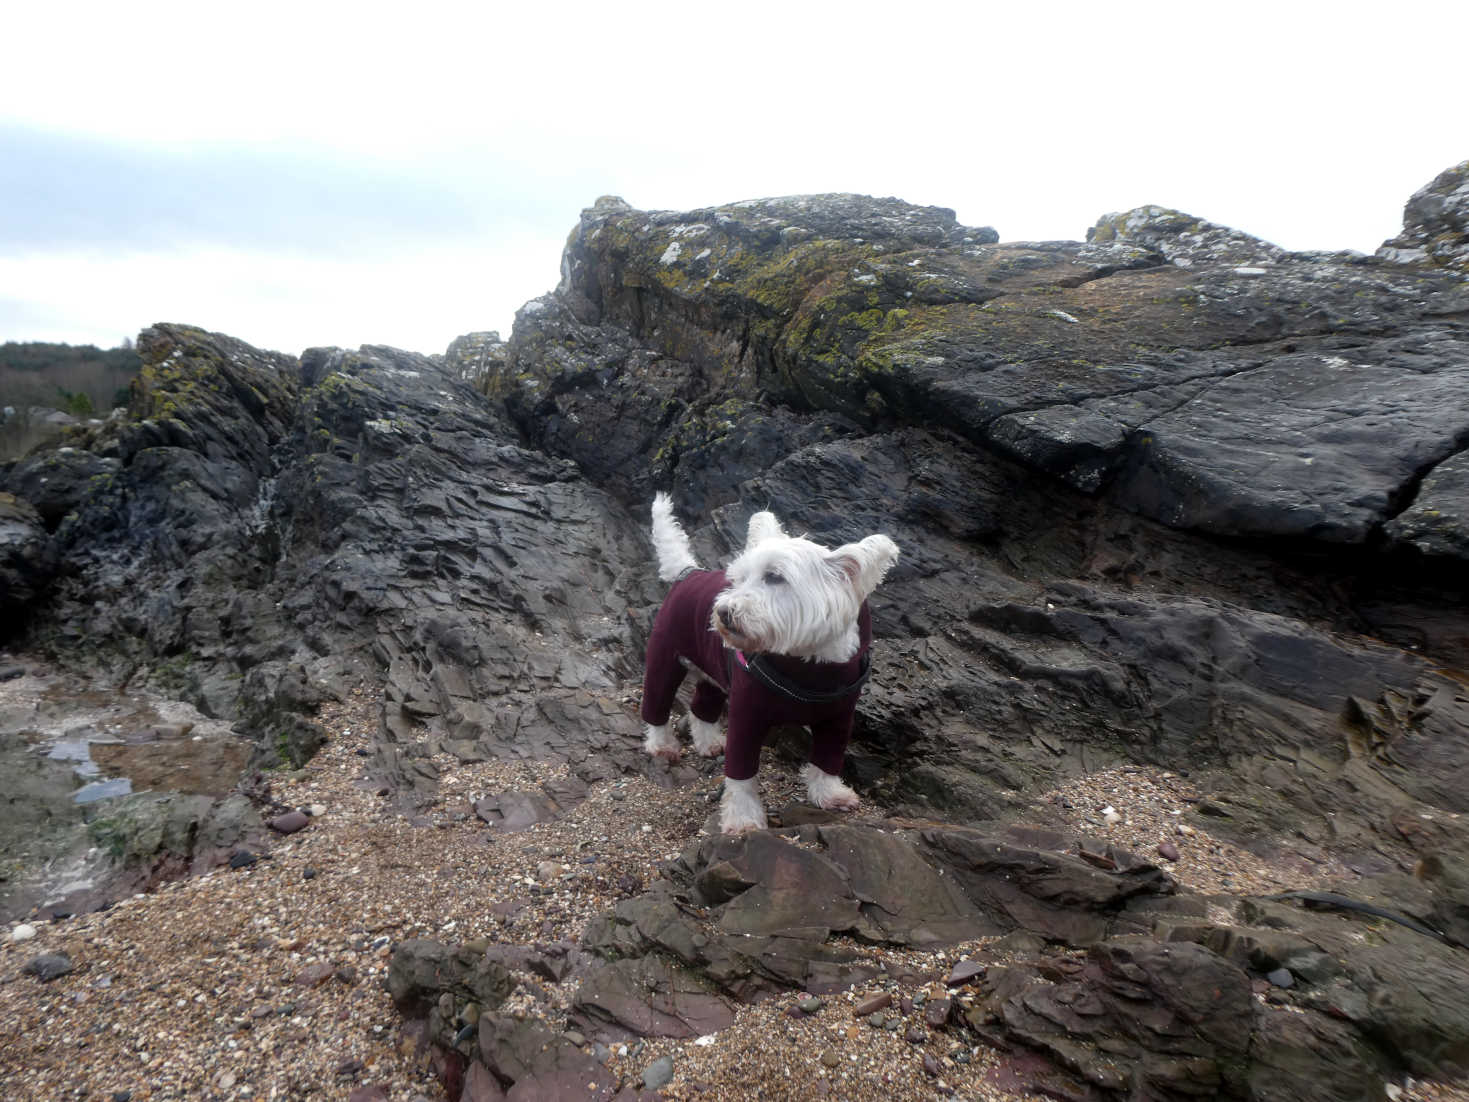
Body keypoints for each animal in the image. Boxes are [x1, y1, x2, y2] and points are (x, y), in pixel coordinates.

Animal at [640, 493, 899, 834]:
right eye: (736, 579)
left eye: (775, 577)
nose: (722, 612)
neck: (808, 667)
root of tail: (689, 572)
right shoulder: (747, 713)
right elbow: (741, 774)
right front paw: (743, 819)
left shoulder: (839, 716)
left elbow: (828, 758)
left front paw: (831, 794)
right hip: (665, 656)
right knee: (656, 704)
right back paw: (661, 745)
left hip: (713, 671)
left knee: (701, 707)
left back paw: (709, 743)